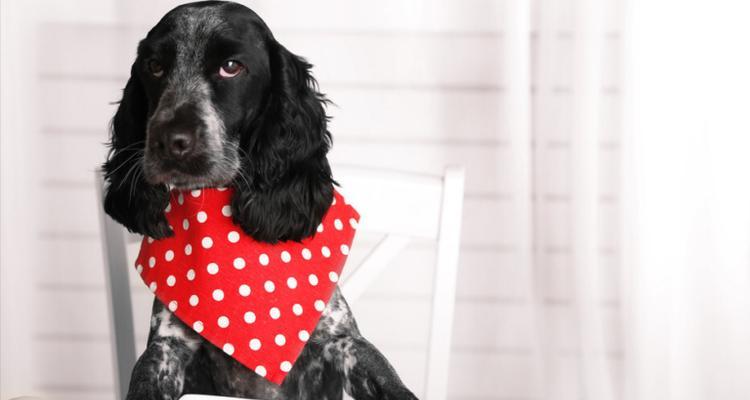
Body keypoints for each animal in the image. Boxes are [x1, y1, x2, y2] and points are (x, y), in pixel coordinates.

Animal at [103, 1, 424, 398]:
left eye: (231, 66)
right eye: (155, 66)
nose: (168, 141)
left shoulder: (340, 339)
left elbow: (387, 378)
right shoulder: (167, 347)